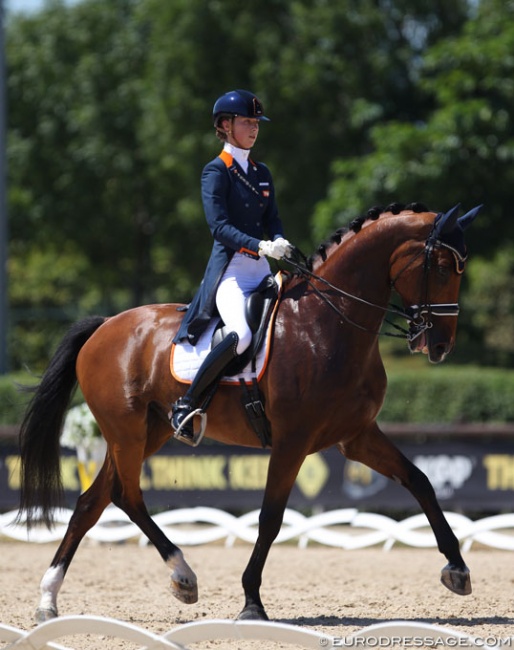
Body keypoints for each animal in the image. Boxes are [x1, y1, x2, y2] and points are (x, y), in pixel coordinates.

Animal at [19, 200, 476, 620]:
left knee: (92, 501)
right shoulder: (293, 440)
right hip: (126, 431)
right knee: (125, 495)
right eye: (440, 267)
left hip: (149, 431)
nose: (440, 346)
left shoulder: (356, 436)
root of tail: (103, 326)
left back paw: (49, 599)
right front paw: (252, 602)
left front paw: (457, 568)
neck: (327, 324)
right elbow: (270, 518)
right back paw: (183, 575)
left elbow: (420, 481)